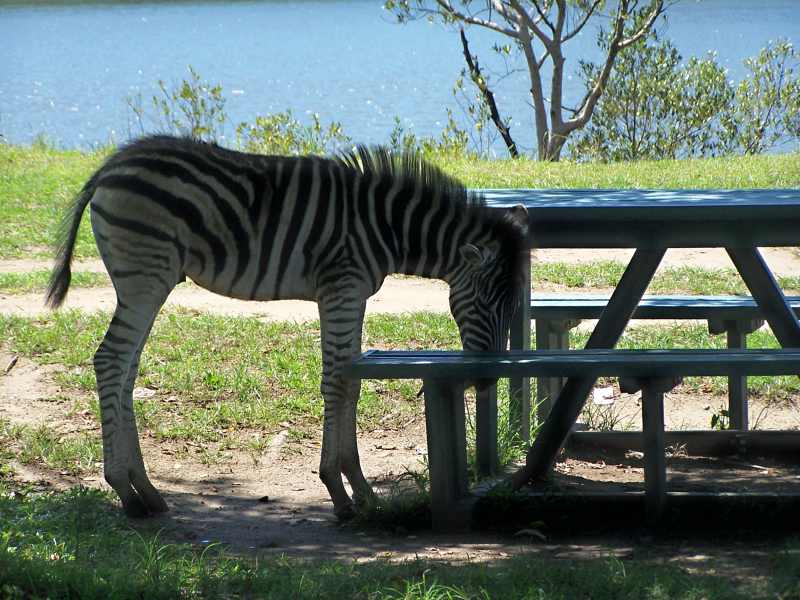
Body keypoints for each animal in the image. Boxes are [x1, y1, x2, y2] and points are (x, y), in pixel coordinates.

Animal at [46, 135, 529, 520]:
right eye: (487, 303)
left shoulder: (352, 295)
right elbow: (336, 383)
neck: (387, 226)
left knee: (126, 370)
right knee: (111, 361)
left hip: (147, 281)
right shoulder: (341, 289)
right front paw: (339, 492)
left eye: (514, 306)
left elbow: (351, 382)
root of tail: (112, 164)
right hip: (146, 276)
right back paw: (125, 492)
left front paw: (362, 491)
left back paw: (146, 490)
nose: (487, 382)